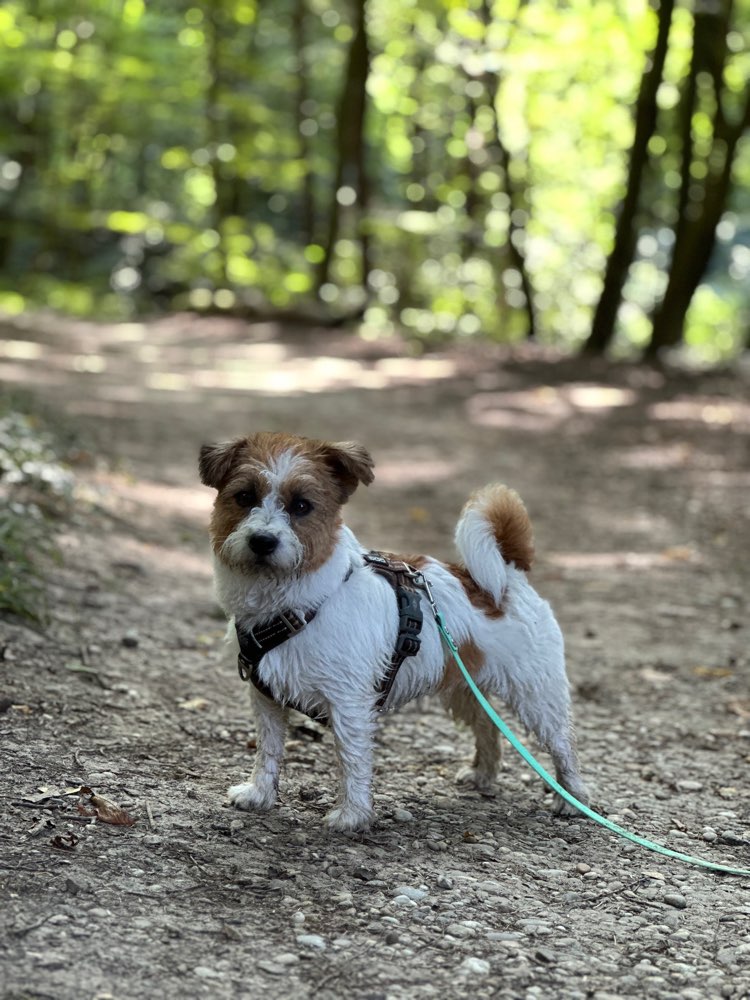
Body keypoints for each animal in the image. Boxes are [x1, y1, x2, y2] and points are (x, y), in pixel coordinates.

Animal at [203, 430, 592, 828]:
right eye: (244, 496)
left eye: (301, 506)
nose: (262, 541)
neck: (297, 604)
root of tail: (508, 576)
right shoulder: (266, 699)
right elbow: (268, 750)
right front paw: (259, 794)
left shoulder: (349, 704)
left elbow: (352, 761)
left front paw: (352, 815)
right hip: (464, 688)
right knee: (488, 726)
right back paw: (483, 776)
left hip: (537, 695)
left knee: (564, 743)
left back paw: (572, 799)